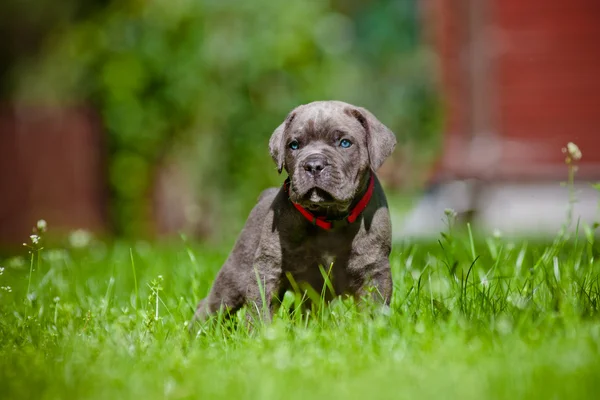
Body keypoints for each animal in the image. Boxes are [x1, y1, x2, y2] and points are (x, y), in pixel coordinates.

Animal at [193, 100, 398, 324]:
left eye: (345, 143)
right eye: (294, 145)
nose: (314, 164)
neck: (329, 217)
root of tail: (264, 195)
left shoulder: (373, 270)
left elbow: (374, 309)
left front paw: (374, 327)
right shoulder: (268, 269)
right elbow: (259, 307)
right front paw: (261, 331)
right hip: (235, 274)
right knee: (211, 305)